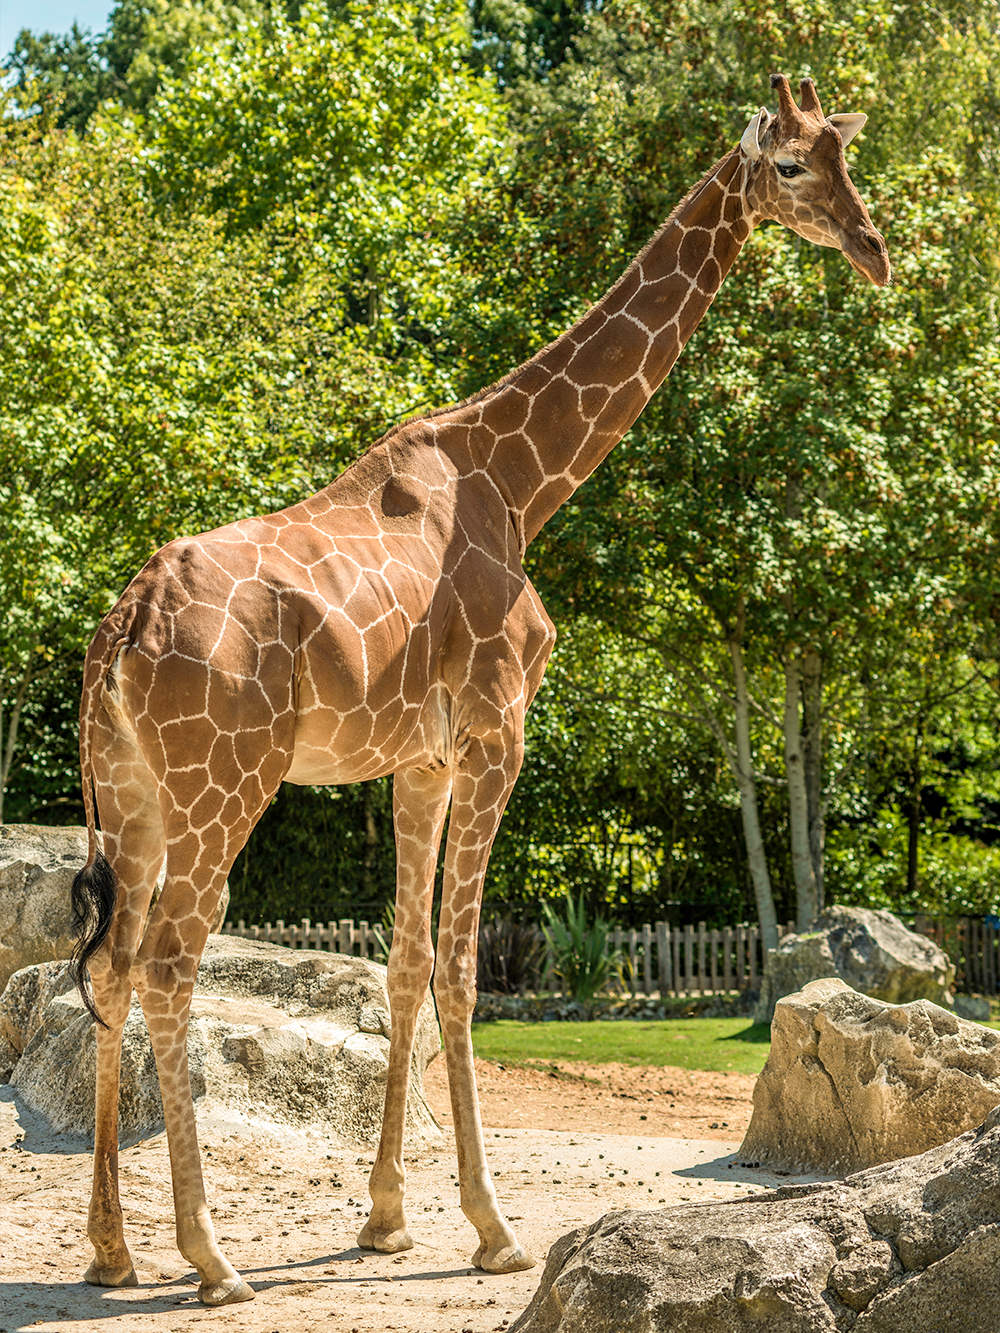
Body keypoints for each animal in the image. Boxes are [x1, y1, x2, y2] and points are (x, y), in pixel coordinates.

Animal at [70, 74, 889, 1307]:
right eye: (791, 168)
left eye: (845, 159)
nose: (875, 249)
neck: (516, 478)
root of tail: (122, 627)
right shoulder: (500, 732)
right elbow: (462, 972)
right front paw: (491, 1227)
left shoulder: (416, 758)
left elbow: (406, 965)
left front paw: (385, 1220)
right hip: (225, 784)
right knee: (169, 968)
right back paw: (210, 1259)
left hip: (132, 795)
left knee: (115, 971)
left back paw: (114, 1250)